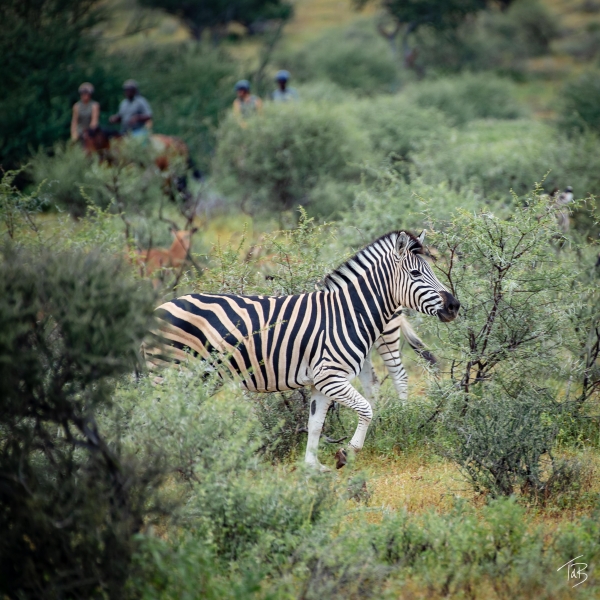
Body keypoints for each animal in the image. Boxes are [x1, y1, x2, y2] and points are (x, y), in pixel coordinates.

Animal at [146, 230, 460, 468]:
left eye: (431, 269)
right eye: (416, 273)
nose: (454, 305)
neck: (350, 313)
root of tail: (159, 308)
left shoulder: (320, 383)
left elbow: (316, 424)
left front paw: (312, 467)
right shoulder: (331, 377)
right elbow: (366, 409)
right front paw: (348, 452)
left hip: (196, 377)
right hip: (167, 374)